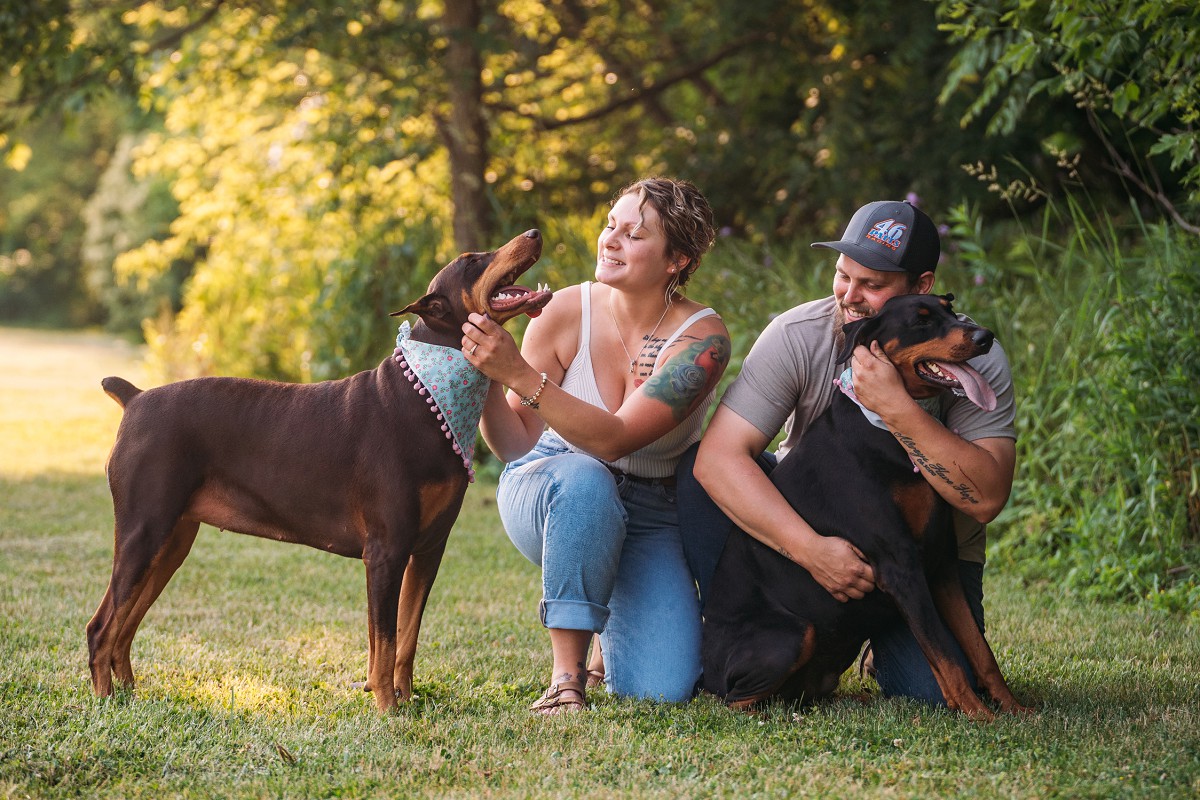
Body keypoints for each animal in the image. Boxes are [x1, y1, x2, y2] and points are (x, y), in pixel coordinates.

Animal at [85, 227, 552, 710]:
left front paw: (405, 699)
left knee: (124, 627)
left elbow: (406, 637)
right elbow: (384, 641)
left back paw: (128, 695)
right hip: (144, 529)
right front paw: (388, 709)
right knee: (101, 628)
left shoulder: (427, 550)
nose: (535, 232)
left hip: (172, 541)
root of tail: (136, 397)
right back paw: (106, 703)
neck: (429, 394)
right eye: (473, 260)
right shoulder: (385, 551)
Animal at [700, 292, 1032, 719]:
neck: (892, 427)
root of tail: (704, 671)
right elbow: (946, 655)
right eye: (921, 321)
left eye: (950, 309)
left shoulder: (942, 563)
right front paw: (979, 716)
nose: (984, 336)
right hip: (791, 636)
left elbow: (978, 649)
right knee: (734, 701)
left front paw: (1013, 709)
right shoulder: (900, 566)